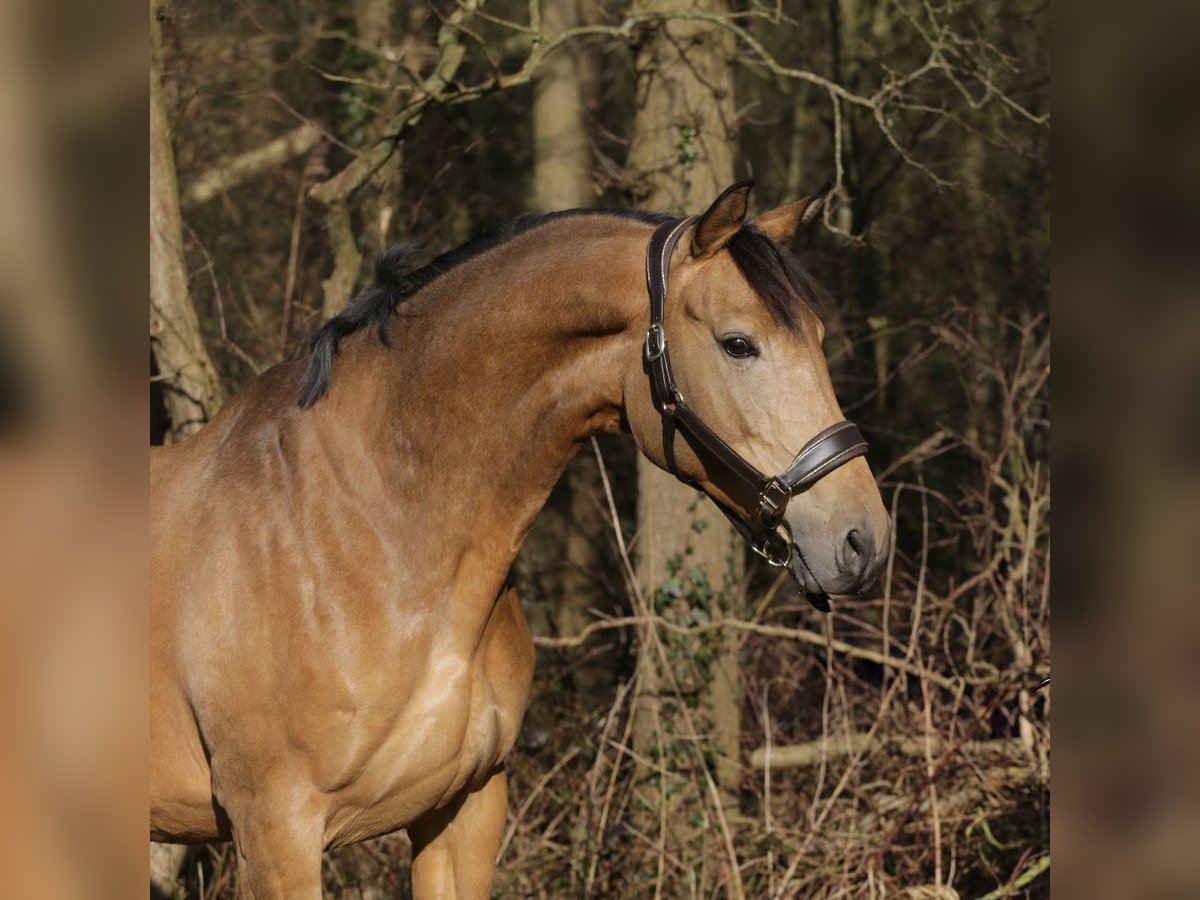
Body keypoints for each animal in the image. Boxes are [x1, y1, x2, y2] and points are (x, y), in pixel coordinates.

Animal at [150, 181, 892, 897]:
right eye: (738, 343)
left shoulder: (465, 809)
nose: (864, 540)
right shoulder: (276, 834)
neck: (373, 536)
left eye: (817, 335)